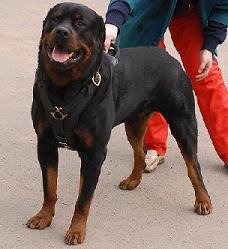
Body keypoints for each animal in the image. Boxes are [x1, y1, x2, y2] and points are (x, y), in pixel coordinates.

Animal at [26, 1, 212, 246]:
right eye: (55, 19)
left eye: (80, 23)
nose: (61, 32)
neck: (64, 88)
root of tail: (172, 60)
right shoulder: (45, 144)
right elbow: (49, 187)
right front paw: (44, 216)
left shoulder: (94, 154)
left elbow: (83, 199)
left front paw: (76, 230)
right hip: (134, 123)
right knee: (140, 153)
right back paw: (133, 180)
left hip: (183, 123)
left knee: (193, 166)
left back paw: (203, 200)